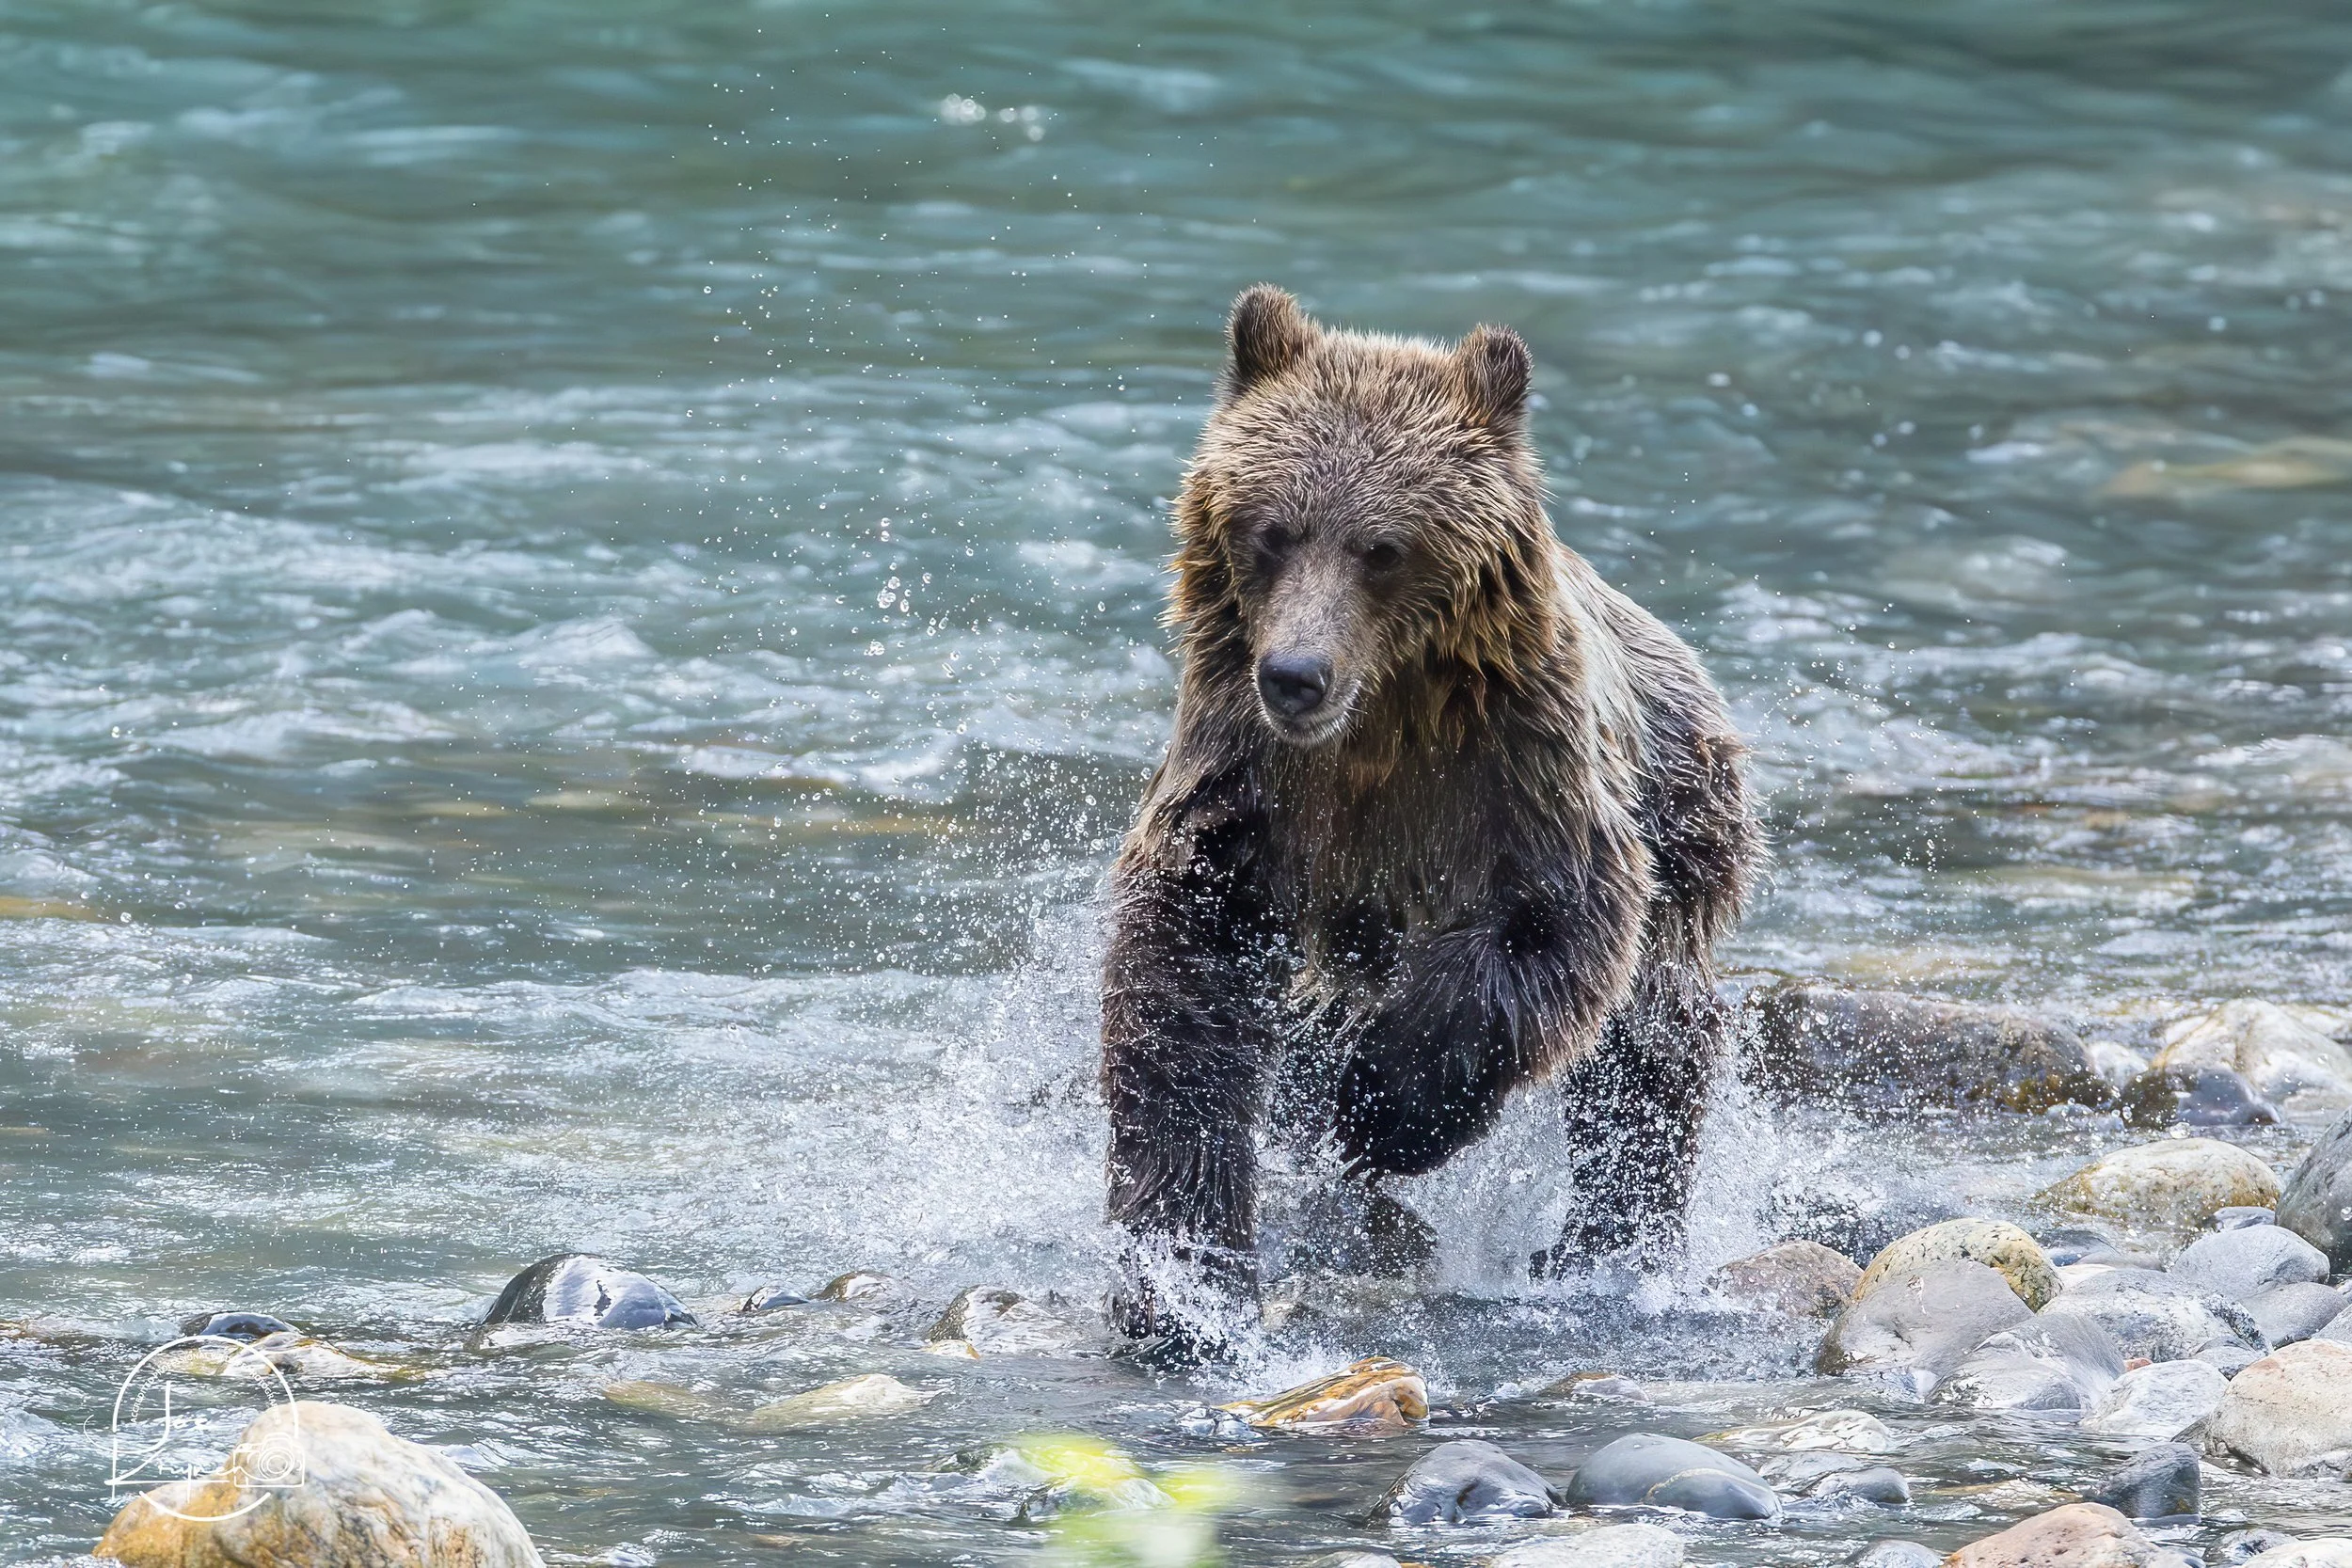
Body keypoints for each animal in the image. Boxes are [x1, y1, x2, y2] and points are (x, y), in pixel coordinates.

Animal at [1100, 285, 1761, 1347]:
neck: (1379, 725)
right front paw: (1181, 1261)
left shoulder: (1518, 772)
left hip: (1689, 827)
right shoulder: (1249, 783)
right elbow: (1183, 968)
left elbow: (1546, 927)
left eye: (1381, 547)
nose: (1295, 673)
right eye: (1271, 531)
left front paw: (1383, 1108)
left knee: (1650, 1056)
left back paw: (1607, 1245)